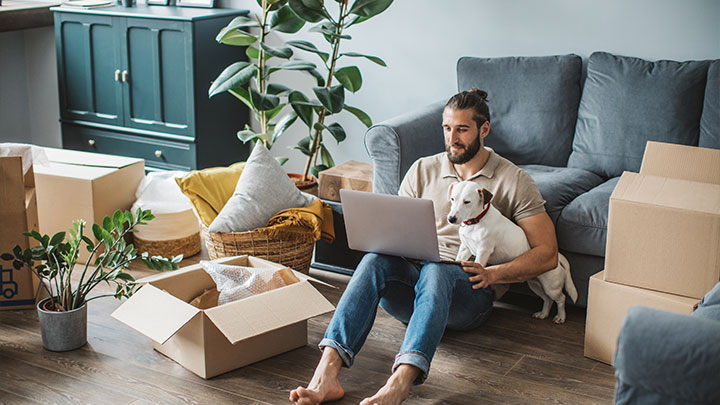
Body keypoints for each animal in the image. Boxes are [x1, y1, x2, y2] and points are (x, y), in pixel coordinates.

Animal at [448, 180, 576, 322]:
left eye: (467, 202)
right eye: (452, 199)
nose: (451, 219)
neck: (476, 221)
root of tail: (558, 259)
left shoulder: (484, 250)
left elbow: (479, 263)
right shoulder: (465, 248)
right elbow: (459, 259)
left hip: (551, 287)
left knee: (561, 299)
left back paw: (561, 317)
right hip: (536, 285)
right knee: (547, 300)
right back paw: (543, 314)